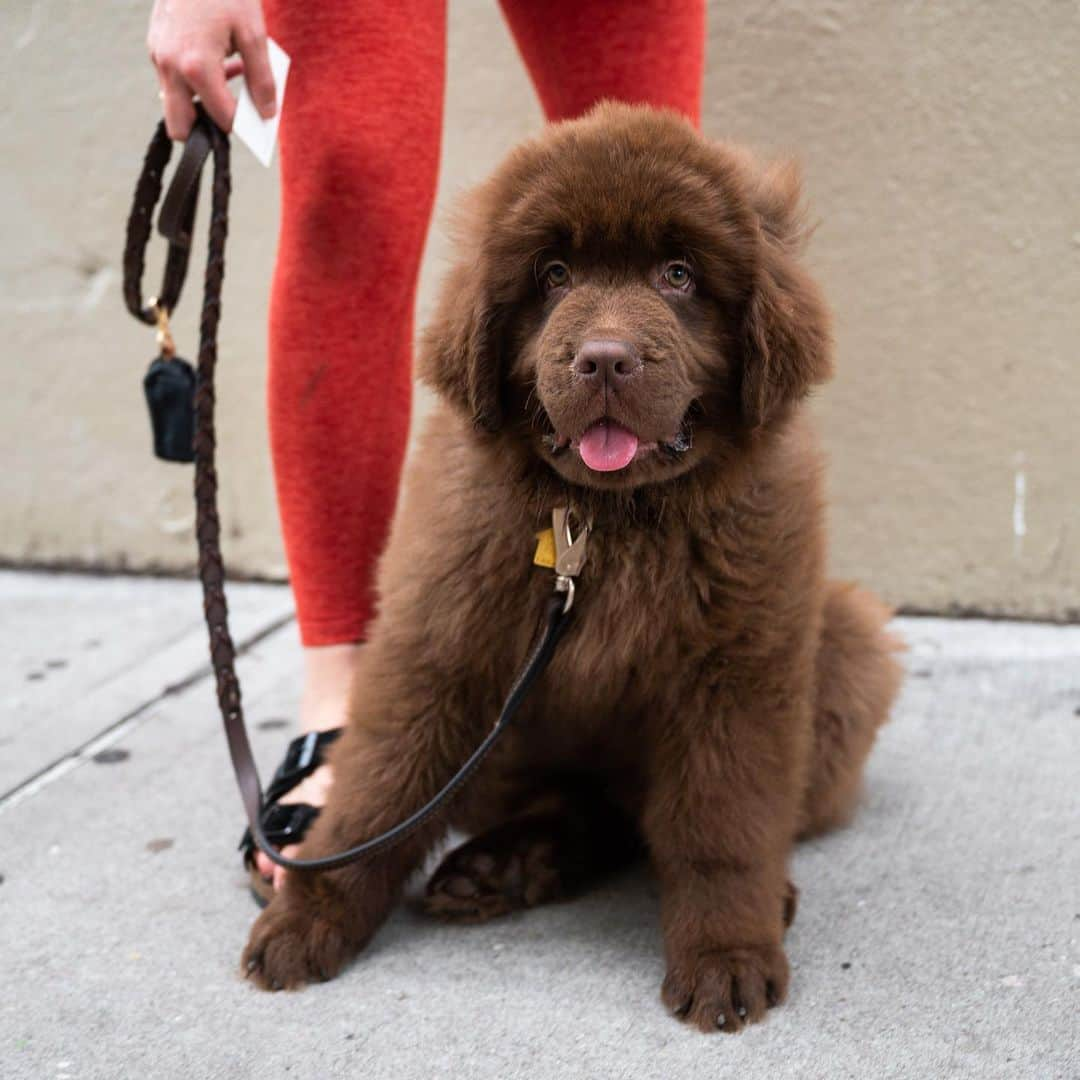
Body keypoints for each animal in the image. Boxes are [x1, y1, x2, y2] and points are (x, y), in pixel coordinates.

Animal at [245, 103, 902, 1036]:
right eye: (553, 276)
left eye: (677, 274)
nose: (604, 357)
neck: (606, 523)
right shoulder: (434, 642)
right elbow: (377, 789)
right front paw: (309, 916)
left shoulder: (740, 670)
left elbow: (724, 824)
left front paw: (726, 953)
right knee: (580, 806)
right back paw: (508, 864)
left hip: (846, 641)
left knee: (646, 820)